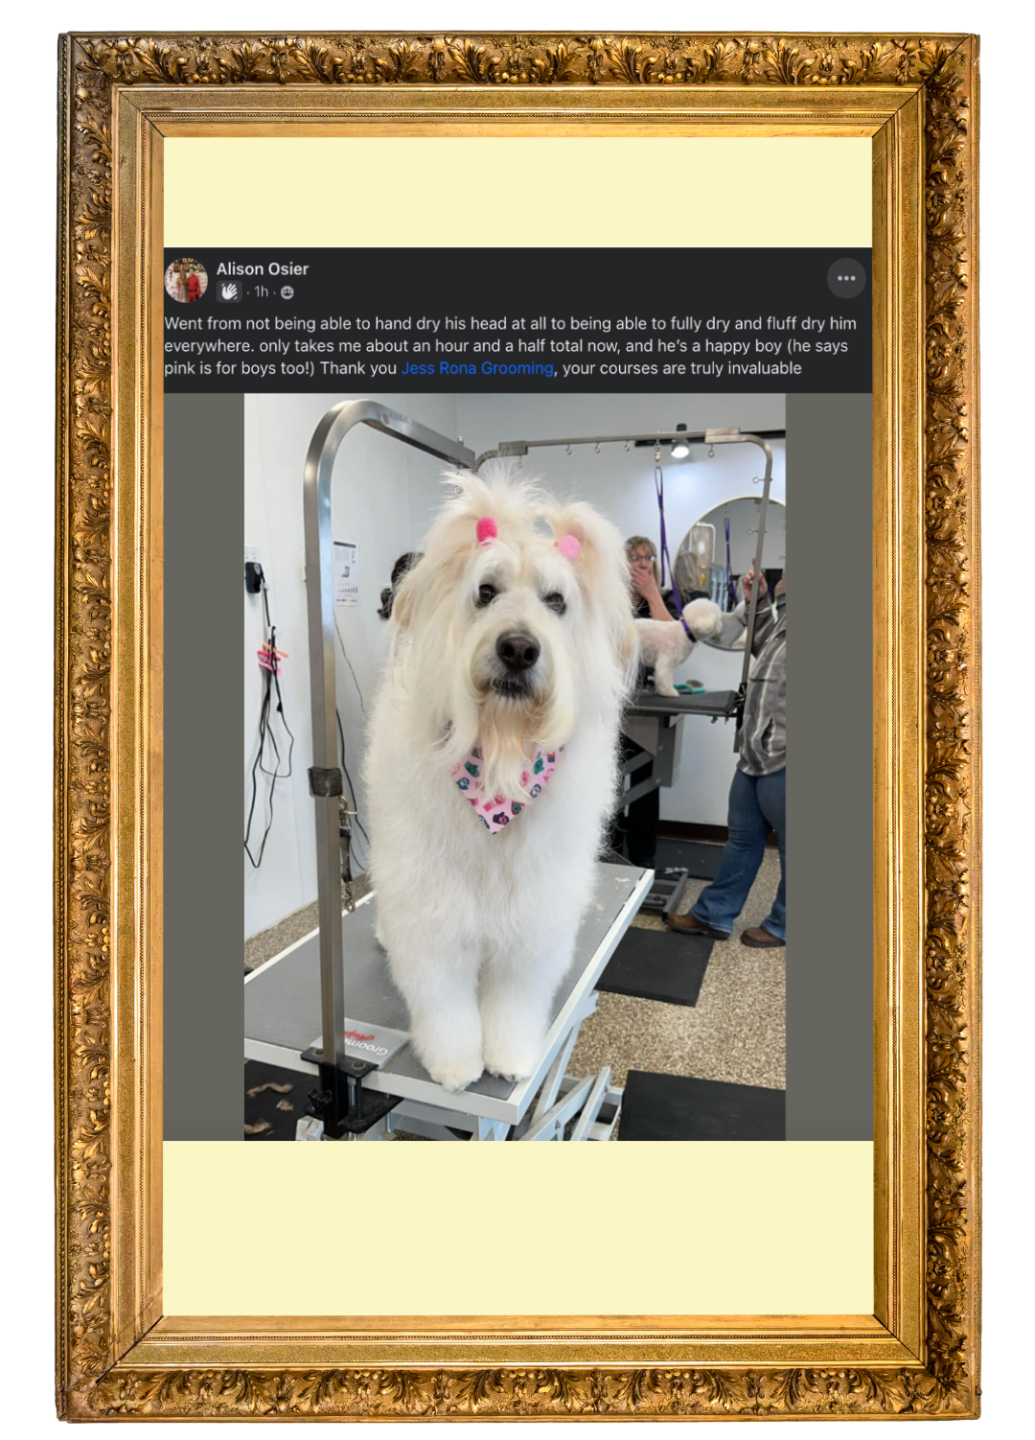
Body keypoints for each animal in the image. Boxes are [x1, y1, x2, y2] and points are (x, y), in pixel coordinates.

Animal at [364, 464, 637, 1093]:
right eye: (485, 592)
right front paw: (454, 1065)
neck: (499, 760)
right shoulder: (433, 909)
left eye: (556, 601)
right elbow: (443, 1000)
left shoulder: (534, 912)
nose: (518, 647)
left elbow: (514, 998)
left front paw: (509, 1057)